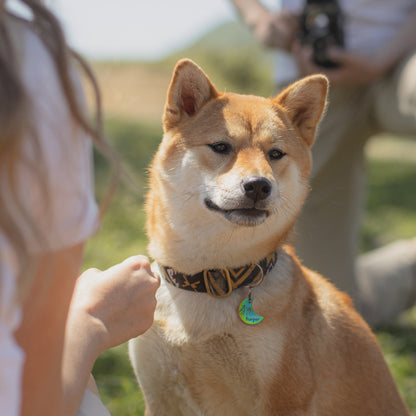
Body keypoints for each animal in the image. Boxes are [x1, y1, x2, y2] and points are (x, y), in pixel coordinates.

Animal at [129, 59, 410, 416]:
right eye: (221, 146)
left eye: (275, 153)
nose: (258, 185)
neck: (210, 279)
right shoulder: (161, 398)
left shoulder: (283, 400)